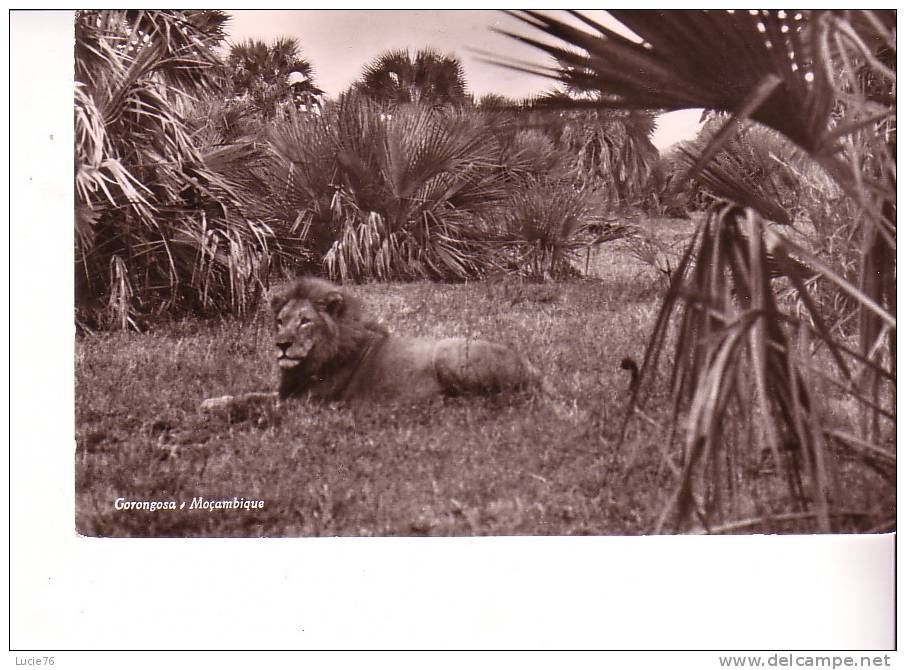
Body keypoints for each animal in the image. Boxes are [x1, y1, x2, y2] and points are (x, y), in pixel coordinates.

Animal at [203, 276, 544, 412]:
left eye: (305, 321)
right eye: (280, 320)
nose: (282, 344)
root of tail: (532, 367)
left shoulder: (308, 402)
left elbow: (254, 403)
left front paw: (221, 407)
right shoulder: (289, 391)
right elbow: (250, 394)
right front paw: (212, 401)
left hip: (449, 352)